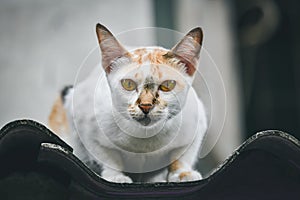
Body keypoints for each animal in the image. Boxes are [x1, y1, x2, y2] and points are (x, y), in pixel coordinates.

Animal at [48, 23, 207, 183]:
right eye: (128, 84)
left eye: (167, 85)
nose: (145, 105)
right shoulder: (84, 123)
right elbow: (109, 157)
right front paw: (115, 176)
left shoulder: (197, 124)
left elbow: (182, 156)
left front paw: (183, 173)